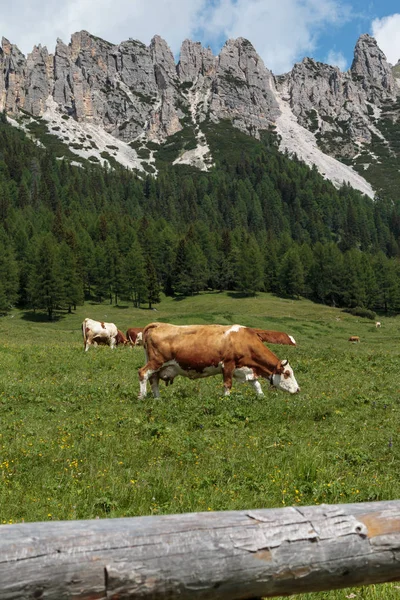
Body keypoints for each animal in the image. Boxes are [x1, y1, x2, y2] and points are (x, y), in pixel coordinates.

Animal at [139, 324, 298, 398]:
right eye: (287, 374)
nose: (298, 389)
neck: (243, 340)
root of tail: (158, 324)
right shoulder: (227, 364)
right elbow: (227, 384)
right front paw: (226, 400)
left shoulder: (247, 369)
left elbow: (257, 385)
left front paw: (262, 398)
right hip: (156, 362)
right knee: (143, 373)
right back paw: (142, 397)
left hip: (158, 366)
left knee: (153, 380)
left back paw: (158, 399)